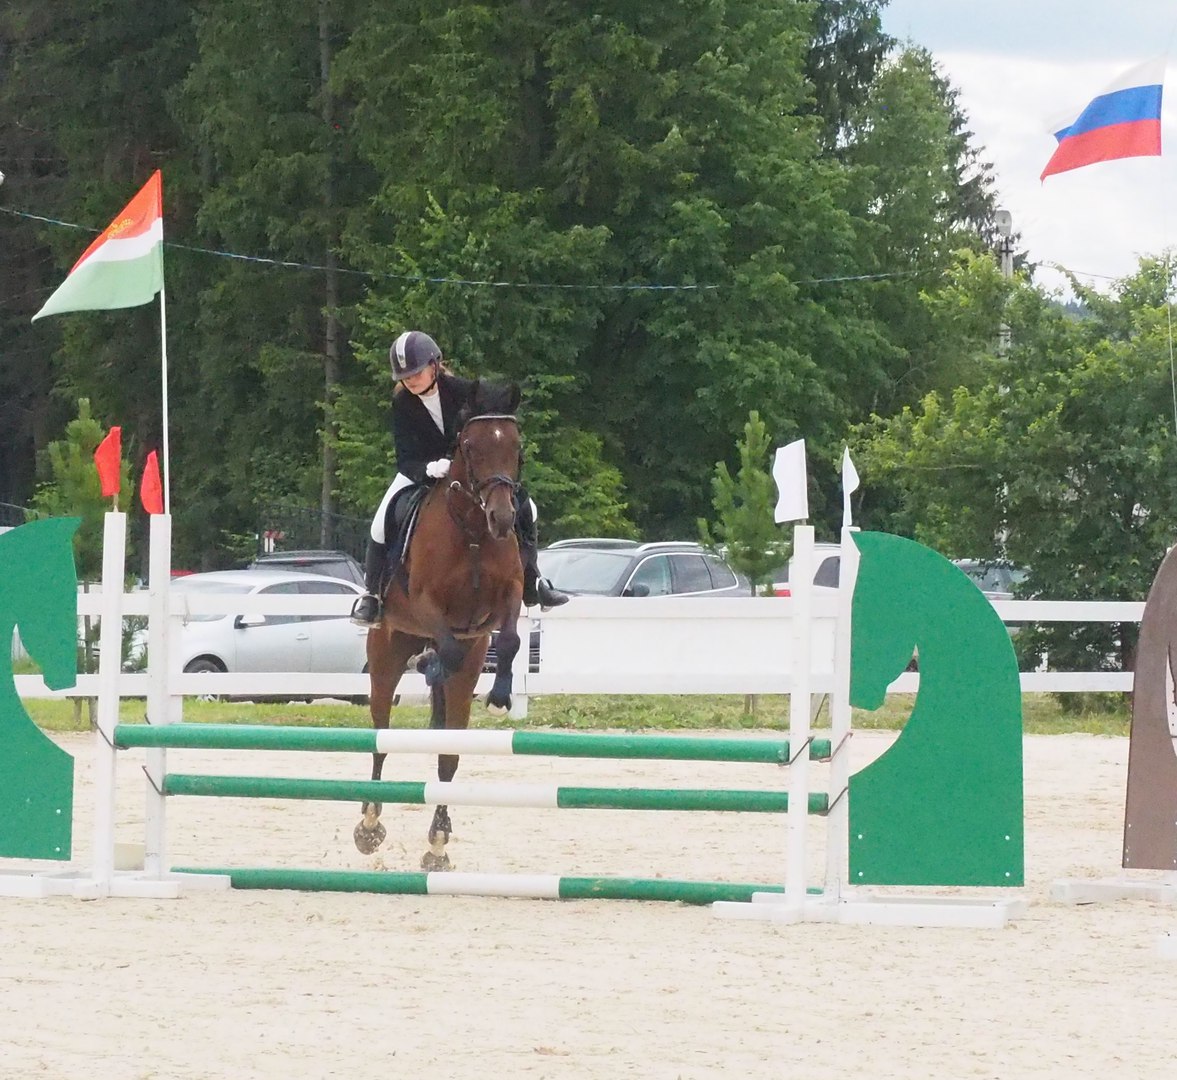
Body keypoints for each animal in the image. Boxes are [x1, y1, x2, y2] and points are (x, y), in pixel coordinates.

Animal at [354, 380, 525, 870]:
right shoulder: (426, 603)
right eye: (469, 447)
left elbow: (510, 639)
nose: (503, 519)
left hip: (468, 665)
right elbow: (445, 646)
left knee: (448, 752)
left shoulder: (508, 596)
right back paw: (369, 826)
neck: (472, 531)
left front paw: (501, 697)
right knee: (381, 733)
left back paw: (438, 842)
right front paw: (432, 665)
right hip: (385, 654)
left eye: (516, 447)